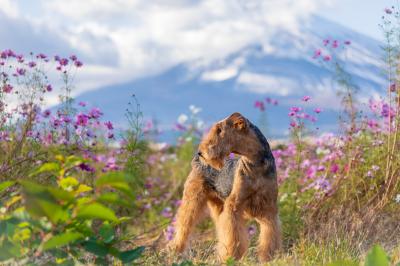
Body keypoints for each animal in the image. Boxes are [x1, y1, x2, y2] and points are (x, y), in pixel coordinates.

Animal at [169, 111, 282, 262]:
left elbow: (270, 235)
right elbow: (233, 235)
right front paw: (231, 257)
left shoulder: (269, 208)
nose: (201, 152)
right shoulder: (234, 205)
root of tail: (196, 161)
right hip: (192, 200)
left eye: (219, 130)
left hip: (217, 205)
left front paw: (270, 256)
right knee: (183, 227)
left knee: (220, 230)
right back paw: (175, 250)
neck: (255, 164)